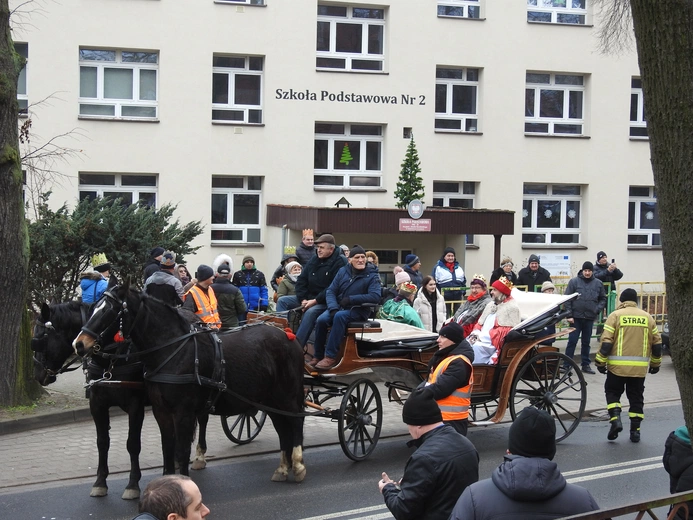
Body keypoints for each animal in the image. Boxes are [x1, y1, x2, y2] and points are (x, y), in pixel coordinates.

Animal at [72, 286, 306, 482]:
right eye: (93, 309)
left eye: (109, 312)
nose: (79, 344)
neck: (174, 350)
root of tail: (288, 334)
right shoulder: (161, 411)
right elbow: (168, 448)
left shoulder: (182, 412)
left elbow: (181, 450)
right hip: (269, 399)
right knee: (282, 427)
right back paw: (282, 468)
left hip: (286, 395)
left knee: (296, 421)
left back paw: (297, 464)